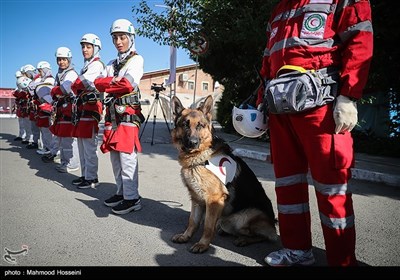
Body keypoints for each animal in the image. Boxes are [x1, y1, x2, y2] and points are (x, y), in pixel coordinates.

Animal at [171, 94, 278, 254]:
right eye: (185, 125)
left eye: (200, 125)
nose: (192, 142)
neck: (200, 156)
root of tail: (273, 222)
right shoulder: (196, 198)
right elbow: (192, 221)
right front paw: (186, 236)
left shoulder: (214, 199)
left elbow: (207, 226)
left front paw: (203, 244)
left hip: (245, 217)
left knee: (264, 236)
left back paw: (243, 239)